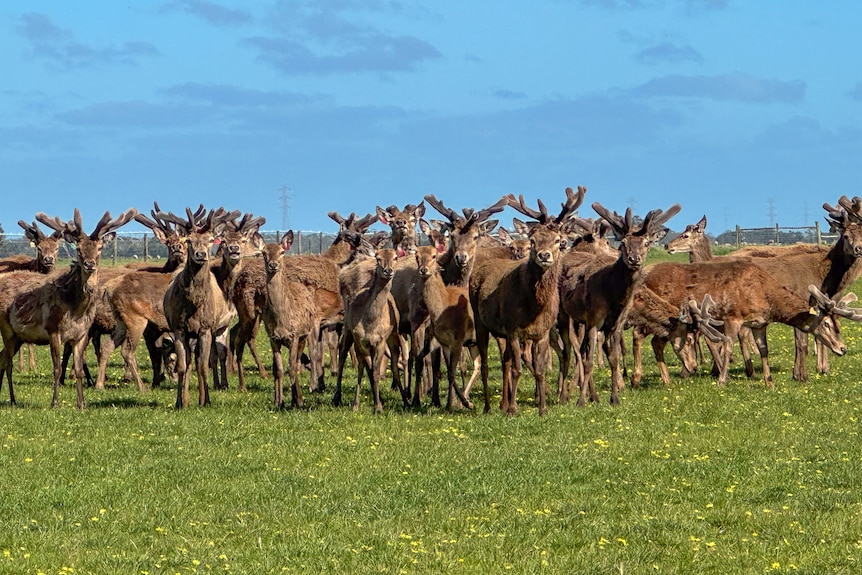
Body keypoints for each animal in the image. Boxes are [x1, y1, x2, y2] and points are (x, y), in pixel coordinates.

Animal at [0, 208, 137, 408]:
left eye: (99, 248)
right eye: (78, 249)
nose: (89, 264)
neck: (76, 310)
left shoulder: (81, 334)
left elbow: (79, 368)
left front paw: (81, 403)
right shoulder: (53, 330)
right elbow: (56, 369)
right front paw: (55, 403)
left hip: (19, 336)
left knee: (1, 358)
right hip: (7, 329)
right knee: (7, 362)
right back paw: (12, 399)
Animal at [470, 186, 584, 415]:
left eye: (557, 240)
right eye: (533, 241)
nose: (544, 255)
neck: (534, 307)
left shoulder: (541, 332)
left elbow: (539, 370)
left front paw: (543, 408)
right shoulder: (513, 329)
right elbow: (517, 369)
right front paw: (514, 409)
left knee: (507, 360)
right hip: (480, 321)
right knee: (485, 363)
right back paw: (488, 406)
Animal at [558, 202, 681, 407]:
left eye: (646, 243)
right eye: (623, 243)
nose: (634, 259)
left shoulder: (616, 324)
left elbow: (613, 359)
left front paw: (614, 398)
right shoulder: (594, 321)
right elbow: (589, 361)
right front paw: (580, 401)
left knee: (579, 351)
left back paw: (592, 395)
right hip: (563, 314)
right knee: (568, 350)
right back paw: (564, 395)